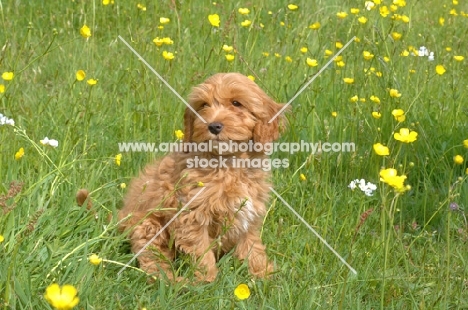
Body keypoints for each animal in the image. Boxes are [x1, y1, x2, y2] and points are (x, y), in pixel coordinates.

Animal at [118, 73, 286, 284]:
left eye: (236, 103)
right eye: (204, 105)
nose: (213, 126)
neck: (229, 164)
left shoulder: (249, 213)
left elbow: (252, 246)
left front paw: (263, 273)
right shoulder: (192, 216)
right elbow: (201, 251)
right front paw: (208, 281)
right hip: (147, 226)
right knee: (152, 259)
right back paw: (172, 281)